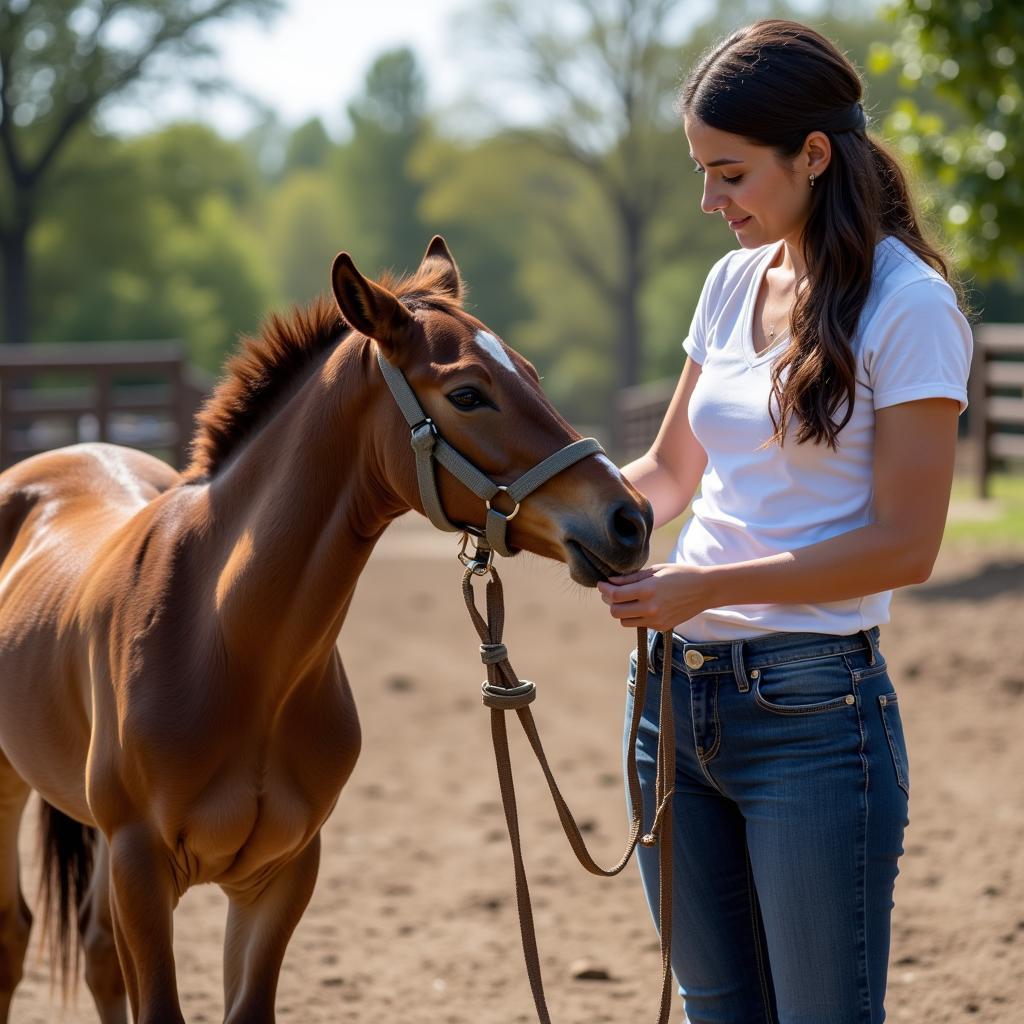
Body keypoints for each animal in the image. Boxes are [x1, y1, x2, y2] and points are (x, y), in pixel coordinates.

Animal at [0, 239, 651, 1024]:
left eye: (529, 373)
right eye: (468, 393)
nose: (630, 520)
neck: (226, 645)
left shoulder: (281, 872)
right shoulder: (141, 867)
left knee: (94, 947)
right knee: (16, 937)